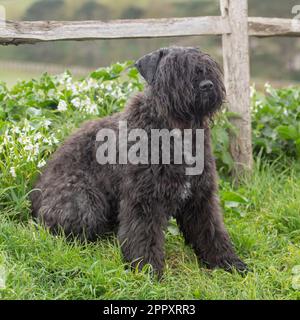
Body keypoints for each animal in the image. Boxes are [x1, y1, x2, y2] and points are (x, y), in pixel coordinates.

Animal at [30, 46, 247, 276]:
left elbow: (211, 230)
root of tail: (34, 192)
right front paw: (147, 270)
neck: (175, 131)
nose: (206, 85)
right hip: (85, 202)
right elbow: (143, 235)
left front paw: (229, 262)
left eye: (207, 66)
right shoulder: (144, 198)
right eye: (174, 69)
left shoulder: (201, 196)